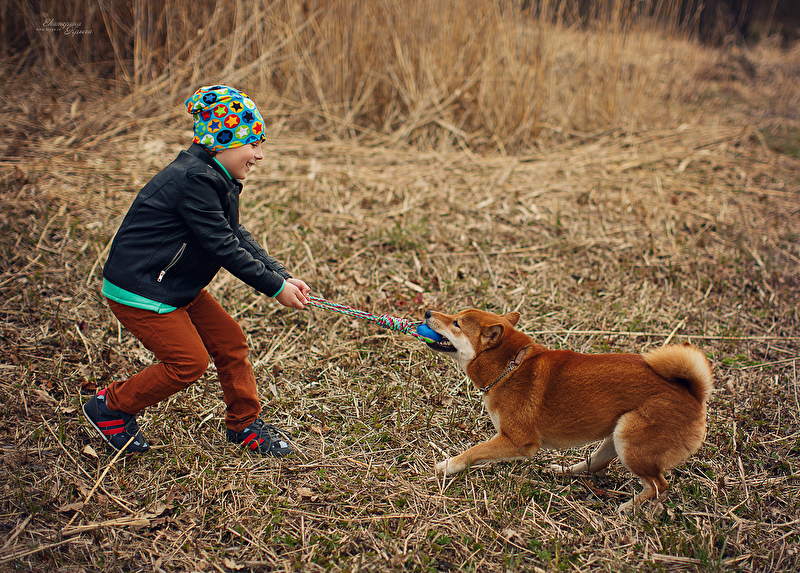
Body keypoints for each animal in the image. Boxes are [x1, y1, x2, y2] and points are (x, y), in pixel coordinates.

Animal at [423, 308, 713, 512]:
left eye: (456, 323)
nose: (427, 313)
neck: (510, 367)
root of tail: (693, 393)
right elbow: (482, 453)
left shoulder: (519, 440)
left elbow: (474, 450)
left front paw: (448, 465)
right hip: (618, 435)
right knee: (595, 462)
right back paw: (563, 471)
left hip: (631, 442)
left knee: (658, 485)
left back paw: (628, 508)